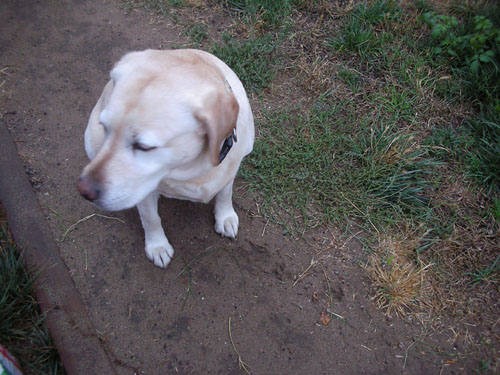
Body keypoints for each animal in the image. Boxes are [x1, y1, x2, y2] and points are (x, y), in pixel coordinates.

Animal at [77, 50, 254, 268]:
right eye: (105, 128)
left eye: (144, 147)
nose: (84, 190)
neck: (193, 171)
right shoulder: (145, 193)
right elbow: (151, 219)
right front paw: (157, 246)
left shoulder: (231, 169)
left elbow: (224, 193)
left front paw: (225, 216)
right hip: (90, 140)